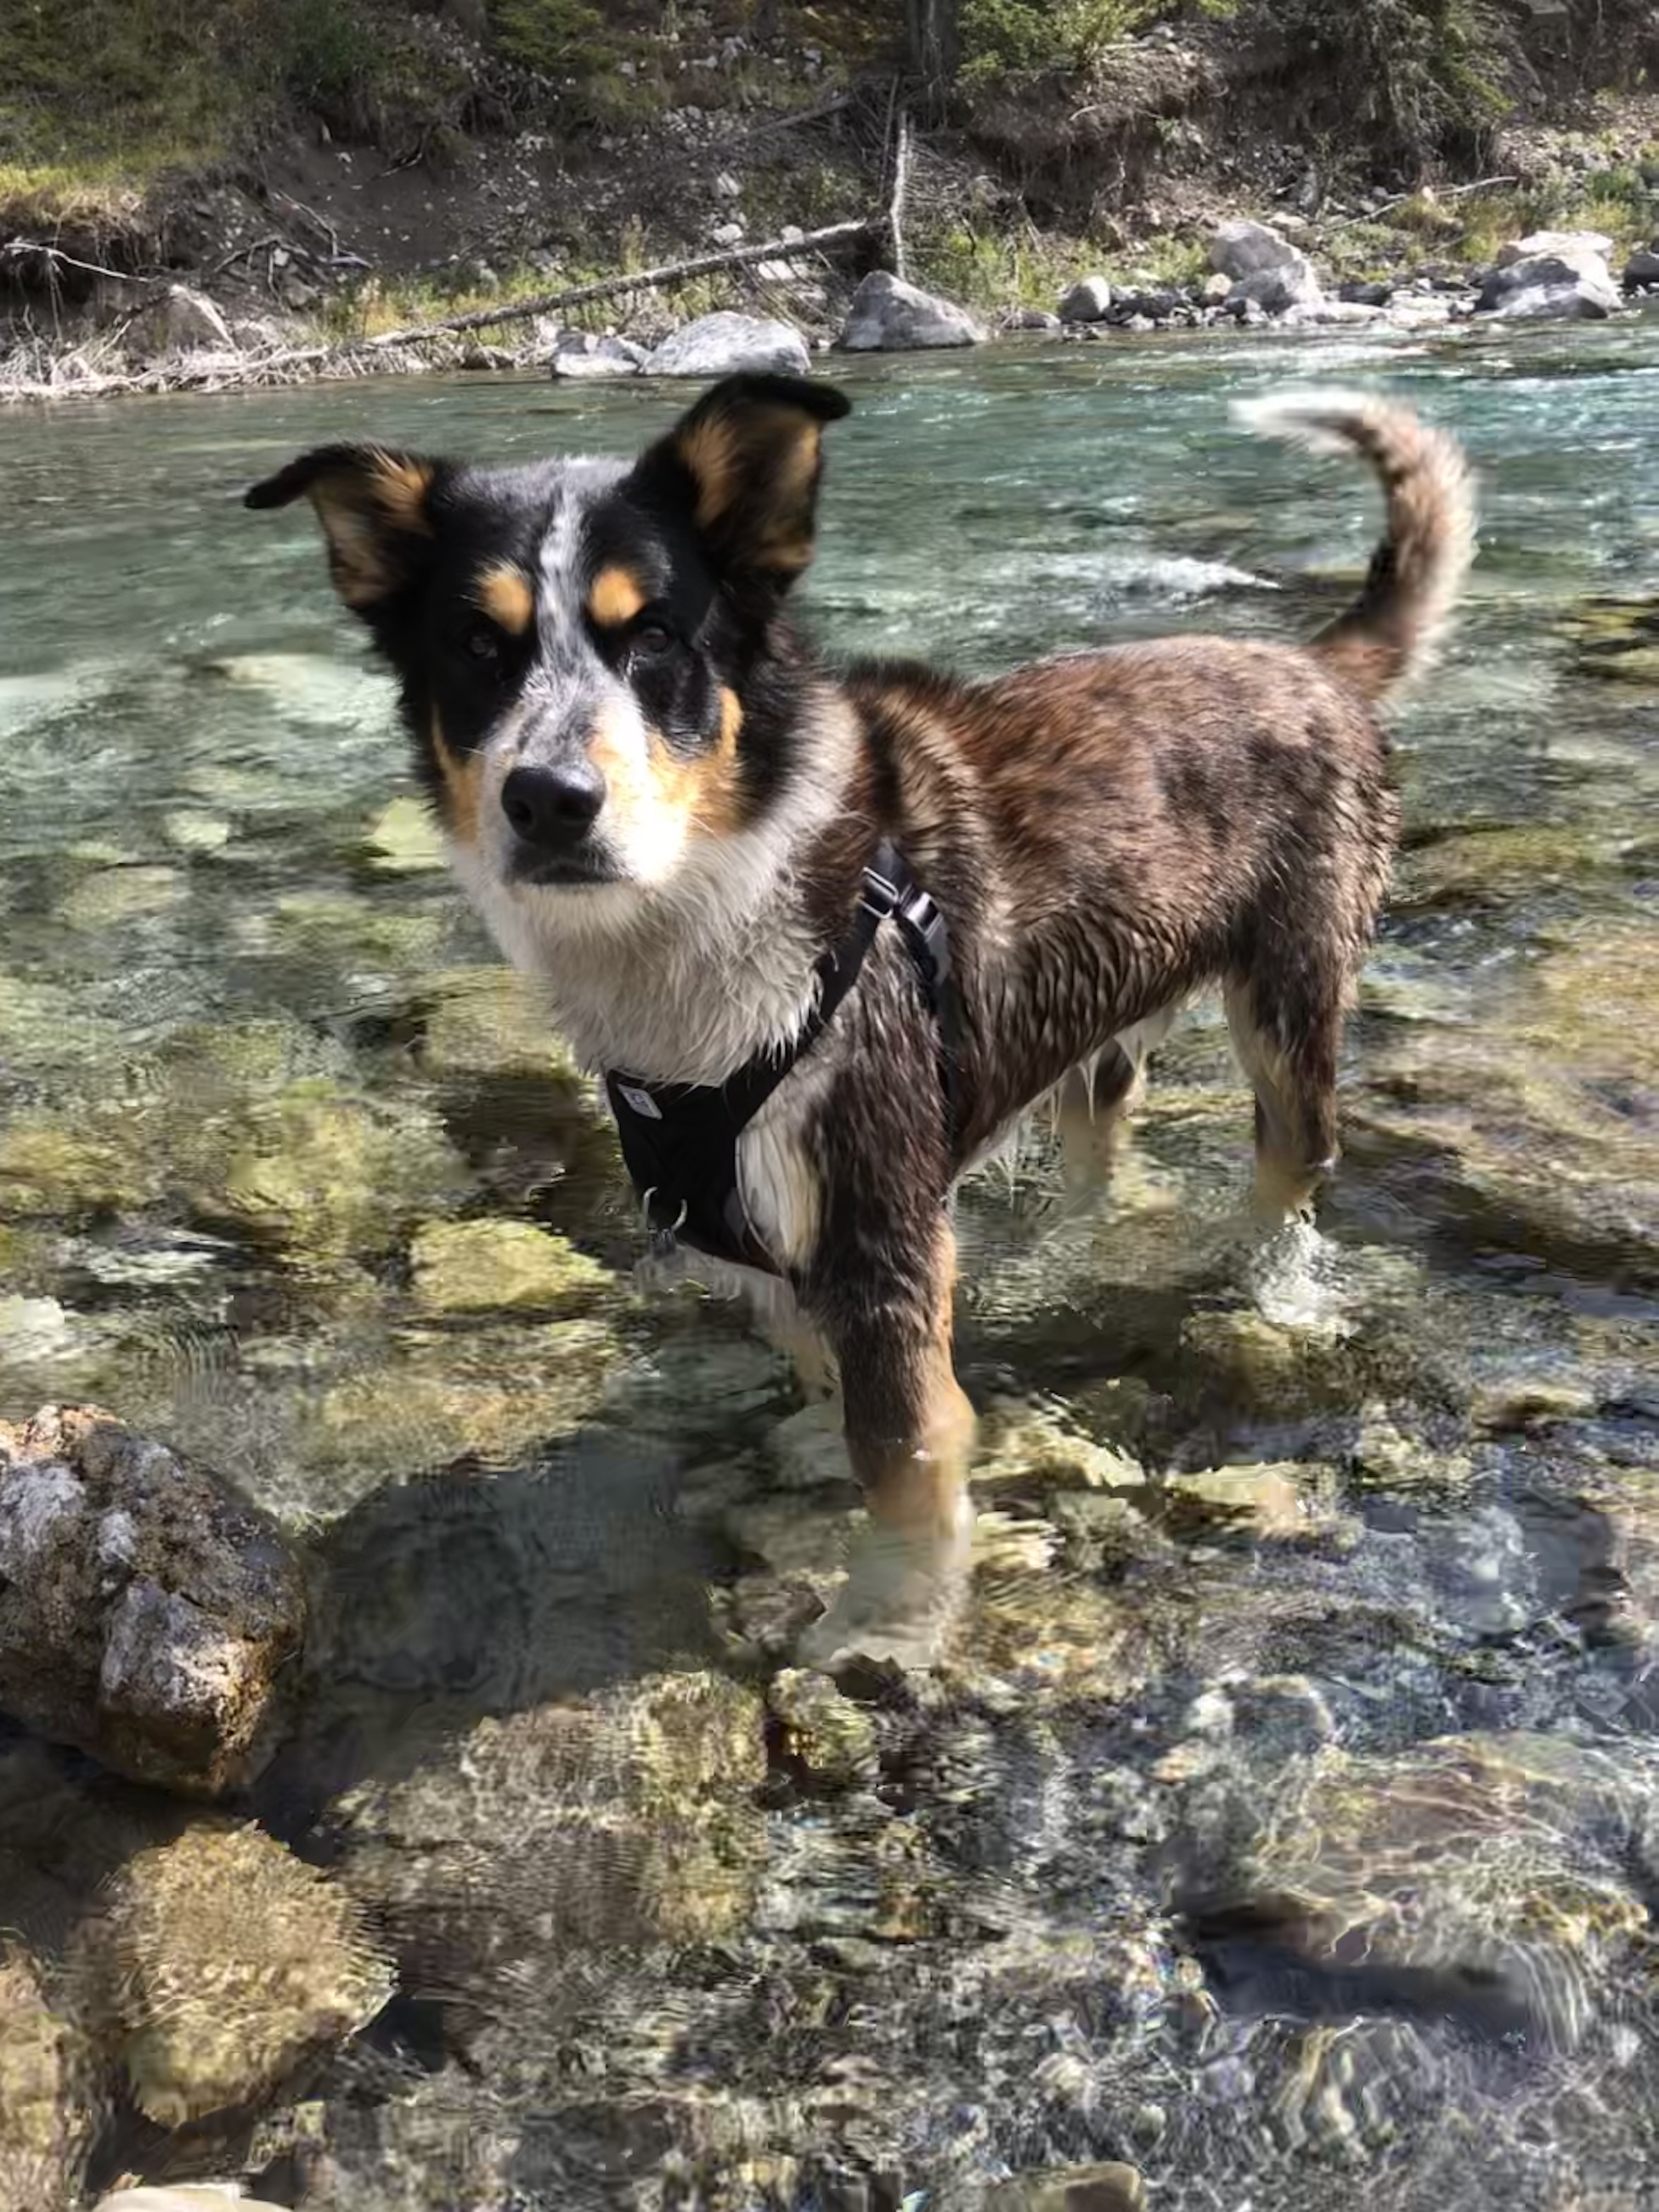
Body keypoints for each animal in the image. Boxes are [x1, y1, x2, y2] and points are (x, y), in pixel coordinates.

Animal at [248, 373, 1474, 1664]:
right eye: (477, 648)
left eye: (655, 638)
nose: (549, 802)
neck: (719, 897)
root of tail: (1313, 666)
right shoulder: (737, 1205)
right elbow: (818, 1366)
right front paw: (812, 1445)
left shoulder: (874, 1211)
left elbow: (905, 1448)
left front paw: (890, 1621)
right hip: (1095, 1022)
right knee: (1103, 1120)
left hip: (1291, 1000)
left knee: (1296, 1159)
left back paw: (1278, 1288)